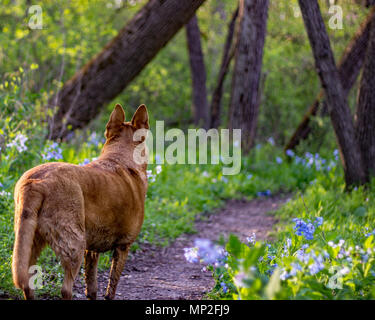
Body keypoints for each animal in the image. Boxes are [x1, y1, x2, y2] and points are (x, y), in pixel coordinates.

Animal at [11, 104, 150, 298]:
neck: (120, 158)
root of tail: (36, 182)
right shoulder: (123, 246)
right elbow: (111, 286)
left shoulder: (91, 250)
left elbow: (91, 287)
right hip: (74, 243)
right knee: (65, 289)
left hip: (28, 240)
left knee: (27, 284)